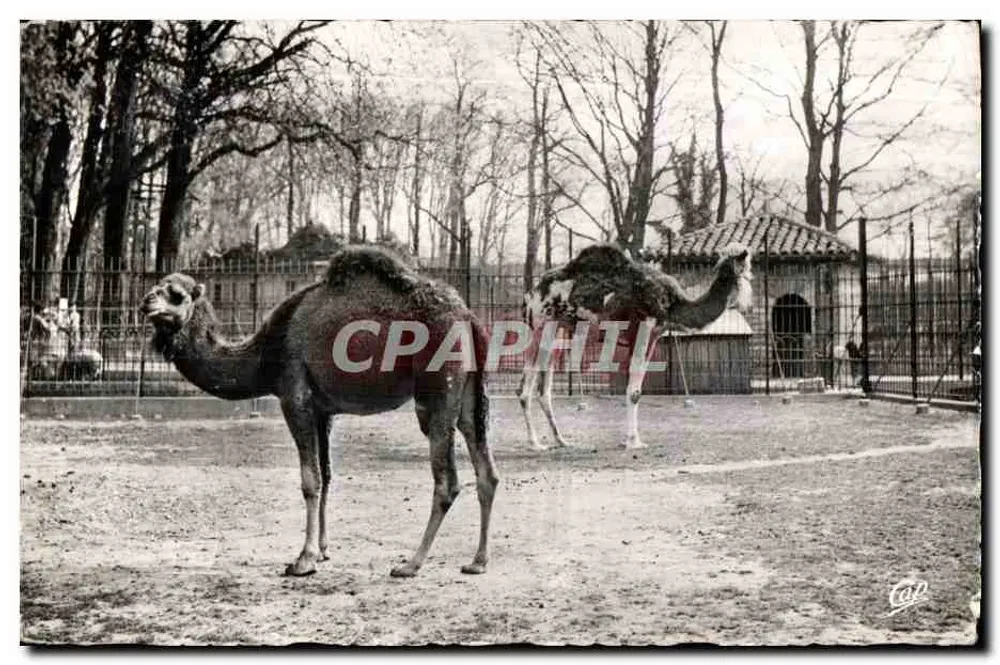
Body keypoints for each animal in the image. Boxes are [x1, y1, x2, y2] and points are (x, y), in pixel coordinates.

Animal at [140, 246, 498, 578]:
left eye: (176, 295)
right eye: (157, 286)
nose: (145, 302)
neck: (267, 351)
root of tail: (469, 317)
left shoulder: (294, 397)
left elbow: (309, 480)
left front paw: (304, 559)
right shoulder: (323, 410)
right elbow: (326, 475)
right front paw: (324, 550)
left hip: (436, 391)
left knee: (447, 481)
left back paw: (411, 563)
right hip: (468, 392)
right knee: (486, 468)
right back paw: (477, 561)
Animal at [519, 242, 752, 450]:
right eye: (746, 267)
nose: (748, 299)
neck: (671, 304)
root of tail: (530, 295)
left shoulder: (650, 338)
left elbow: (633, 389)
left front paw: (627, 440)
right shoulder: (645, 331)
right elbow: (634, 392)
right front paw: (634, 442)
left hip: (557, 330)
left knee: (544, 390)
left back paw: (562, 441)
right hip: (541, 325)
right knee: (524, 388)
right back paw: (535, 443)